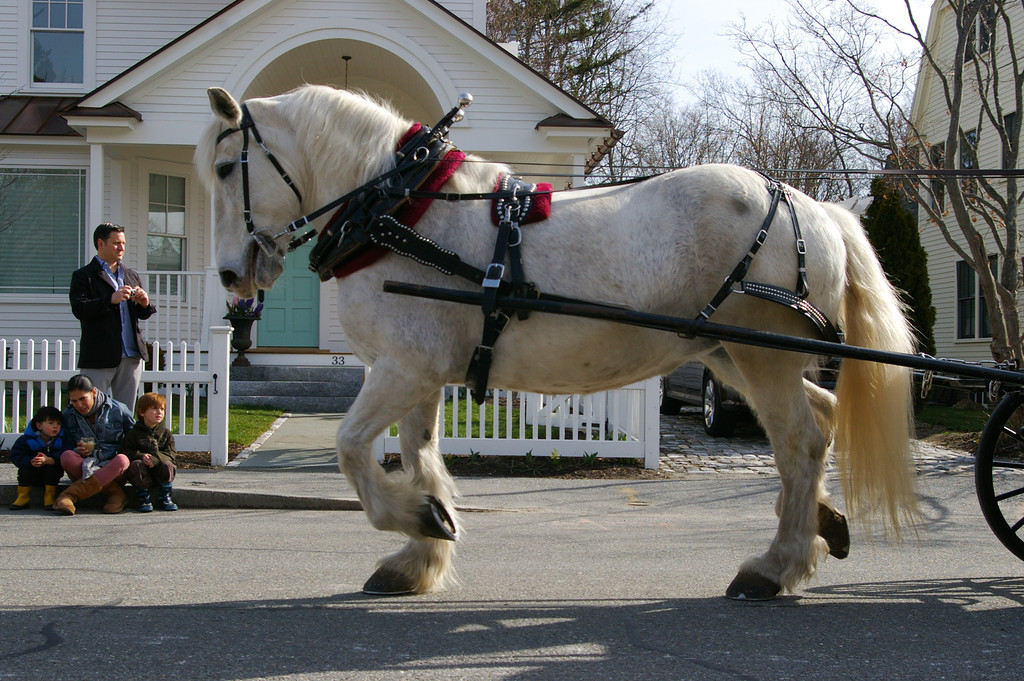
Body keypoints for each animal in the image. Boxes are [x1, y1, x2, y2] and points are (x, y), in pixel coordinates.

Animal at [195, 84, 917, 602]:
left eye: (228, 166)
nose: (229, 275)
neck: (398, 210)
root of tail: (811, 204)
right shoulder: (420, 374)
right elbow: (420, 457)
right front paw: (421, 550)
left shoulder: (402, 369)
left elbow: (350, 448)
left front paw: (418, 521)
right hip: (732, 354)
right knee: (822, 416)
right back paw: (822, 527)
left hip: (760, 354)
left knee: (799, 443)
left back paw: (774, 566)